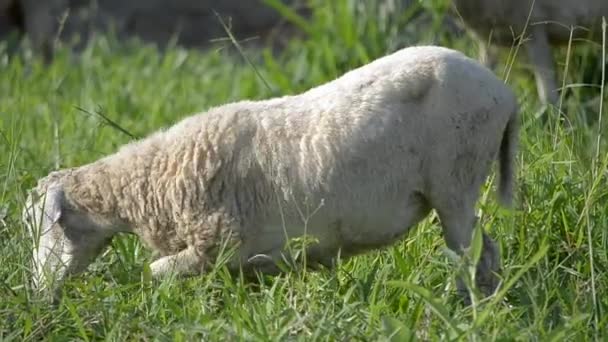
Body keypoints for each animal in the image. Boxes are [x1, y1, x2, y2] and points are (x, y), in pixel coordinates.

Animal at [22, 45, 516, 302]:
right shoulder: (250, 260)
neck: (154, 184)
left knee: (470, 253)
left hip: (455, 181)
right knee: (485, 250)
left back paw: (466, 305)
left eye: (43, 226)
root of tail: (504, 94)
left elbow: (155, 272)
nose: (39, 296)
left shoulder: (214, 246)